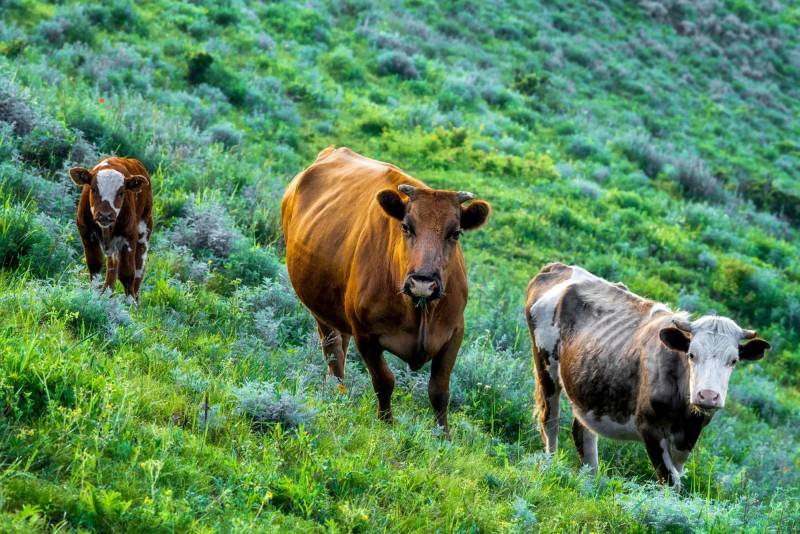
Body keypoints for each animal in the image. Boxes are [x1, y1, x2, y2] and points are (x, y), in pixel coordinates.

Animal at [72, 157, 155, 304]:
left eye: (121, 193)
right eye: (93, 189)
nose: (105, 215)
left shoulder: (128, 238)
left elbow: (127, 273)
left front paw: (130, 303)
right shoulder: (86, 235)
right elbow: (94, 266)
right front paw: (93, 296)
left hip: (145, 229)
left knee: (139, 266)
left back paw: (135, 297)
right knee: (112, 264)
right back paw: (106, 293)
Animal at [284, 147, 490, 436]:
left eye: (456, 233)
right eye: (405, 226)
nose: (423, 282)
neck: (419, 311)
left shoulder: (454, 333)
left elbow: (439, 390)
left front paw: (444, 436)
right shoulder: (366, 334)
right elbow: (384, 380)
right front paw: (387, 424)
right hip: (319, 309)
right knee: (333, 350)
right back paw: (339, 393)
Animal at [524, 262, 768, 488]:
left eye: (733, 360)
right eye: (691, 354)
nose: (708, 395)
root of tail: (559, 267)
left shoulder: (688, 436)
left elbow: (677, 476)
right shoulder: (650, 428)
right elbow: (669, 480)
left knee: (583, 432)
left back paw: (590, 480)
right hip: (545, 367)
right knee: (550, 420)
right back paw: (551, 467)